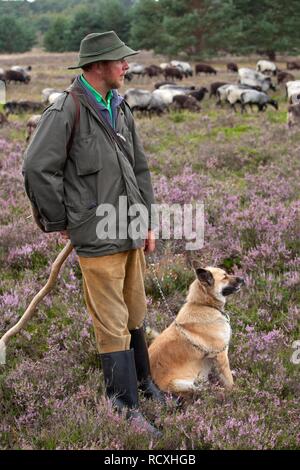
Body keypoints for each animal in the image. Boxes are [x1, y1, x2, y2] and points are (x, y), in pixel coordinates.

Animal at [149, 266, 245, 394]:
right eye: (224, 277)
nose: (243, 279)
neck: (204, 305)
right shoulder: (221, 355)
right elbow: (228, 378)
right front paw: (235, 391)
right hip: (181, 384)